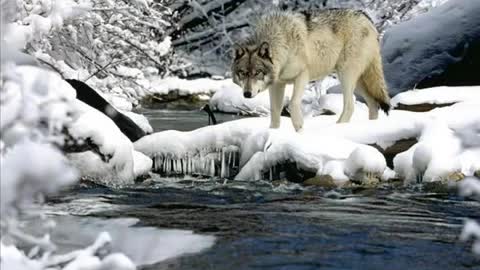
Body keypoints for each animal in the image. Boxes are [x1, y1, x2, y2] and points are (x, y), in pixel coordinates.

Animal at [231, 8, 392, 131]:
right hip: (358, 82)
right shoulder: (277, 84)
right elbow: (275, 112)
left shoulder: (302, 76)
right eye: (242, 73)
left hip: (346, 75)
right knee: (373, 104)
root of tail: (367, 18)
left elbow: (292, 104)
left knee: (350, 106)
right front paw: (273, 132)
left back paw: (336, 128)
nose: (246, 94)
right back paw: (370, 126)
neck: (282, 42)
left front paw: (299, 128)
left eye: (257, 73)